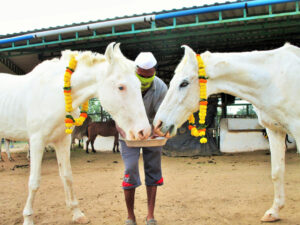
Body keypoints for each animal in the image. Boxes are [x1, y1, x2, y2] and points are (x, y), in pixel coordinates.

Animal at [0, 42, 150, 225]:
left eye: (139, 84)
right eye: (121, 87)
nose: (144, 131)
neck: (54, 94)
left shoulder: (63, 141)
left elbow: (67, 176)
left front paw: (76, 213)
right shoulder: (37, 141)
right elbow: (34, 182)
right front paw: (28, 218)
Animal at [155, 43, 300, 222]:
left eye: (184, 83)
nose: (158, 124)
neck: (274, 79)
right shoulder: (275, 130)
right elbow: (277, 171)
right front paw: (273, 212)